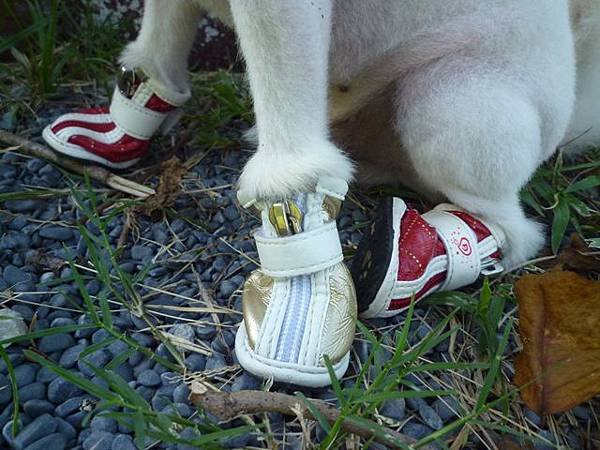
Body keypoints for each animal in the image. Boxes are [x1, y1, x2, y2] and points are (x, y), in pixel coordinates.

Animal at [43, 0, 600, 386]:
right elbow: (162, 33)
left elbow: (290, 145)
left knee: (513, 228)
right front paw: (121, 122)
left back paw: (408, 257)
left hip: (449, 101)